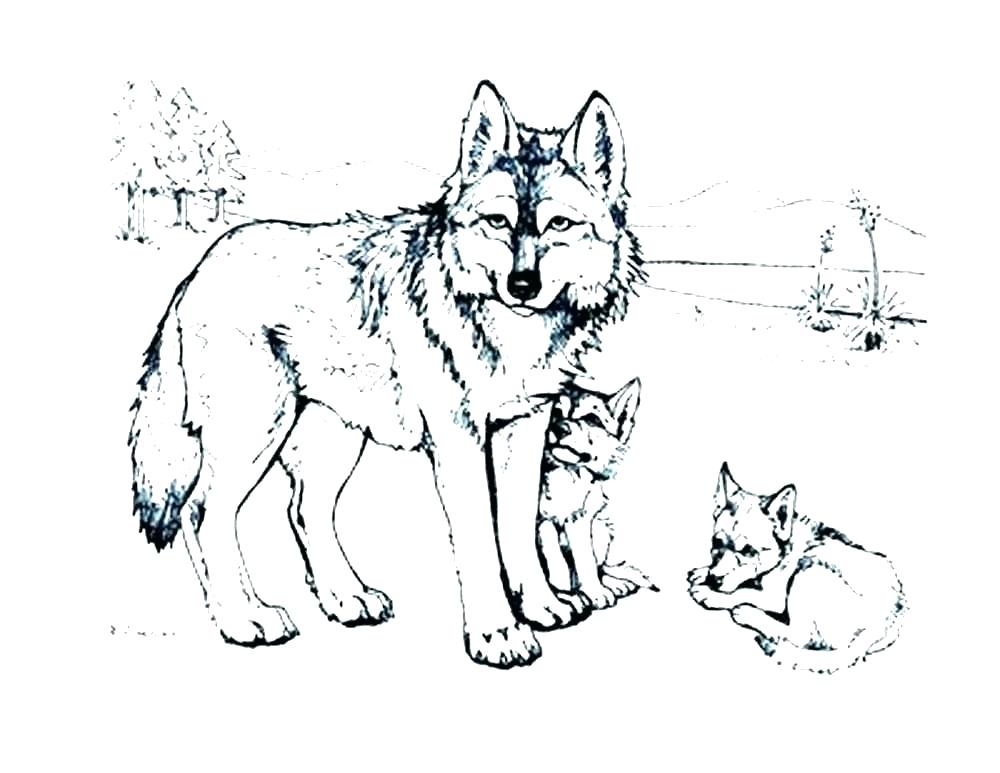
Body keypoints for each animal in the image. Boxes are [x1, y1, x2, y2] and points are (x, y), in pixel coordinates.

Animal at [537, 378, 656, 610]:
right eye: (556, 413)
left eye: (592, 419)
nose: (559, 427)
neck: (567, 476)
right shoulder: (539, 517)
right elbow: (548, 535)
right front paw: (560, 580)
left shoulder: (580, 521)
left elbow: (586, 560)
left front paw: (595, 592)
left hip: (601, 527)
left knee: (600, 567)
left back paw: (612, 584)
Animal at [687, 463, 906, 674]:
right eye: (716, 543)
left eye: (749, 551)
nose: (713, 580)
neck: (785, 551)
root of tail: (889, 620)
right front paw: (702, 573)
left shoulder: (774, 598)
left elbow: (742, 592)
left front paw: (711, 595)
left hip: (809, 570)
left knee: (800, 635)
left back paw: (750, 614)